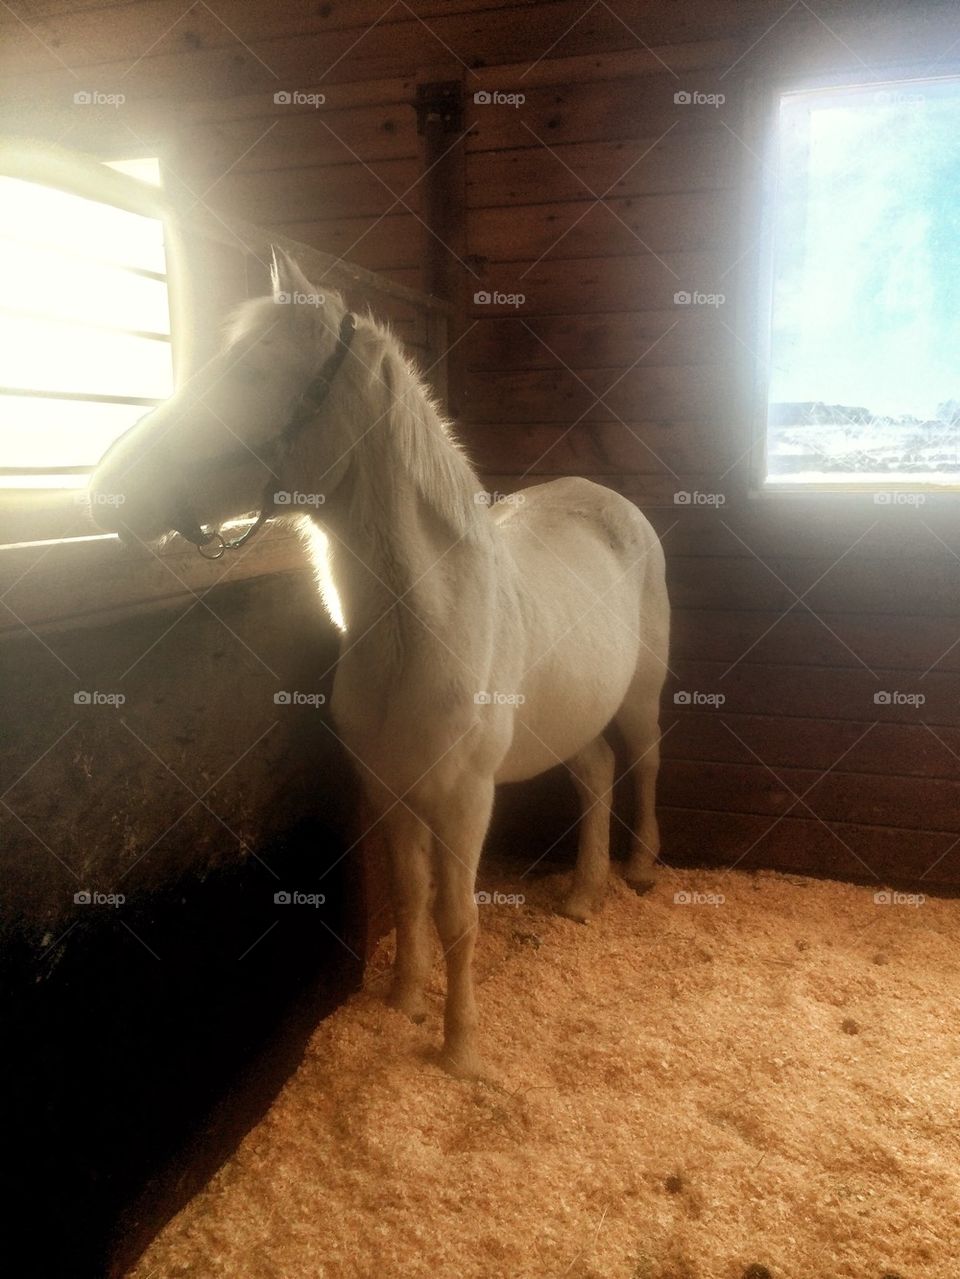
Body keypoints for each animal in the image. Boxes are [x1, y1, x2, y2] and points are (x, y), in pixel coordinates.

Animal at [88, 251, 670, 1079]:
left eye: (253, 369)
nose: (105, 487)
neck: (418, 629)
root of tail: (608, 500)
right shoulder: (390, 788)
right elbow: (409, 891)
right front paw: (403, 1002)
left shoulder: (463, 799)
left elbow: (458, 915)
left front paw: (460, 1050)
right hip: (569, 717)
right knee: (595, 772)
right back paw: (586, 894)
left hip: (643, 693)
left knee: (644, 760)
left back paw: (642, 870)